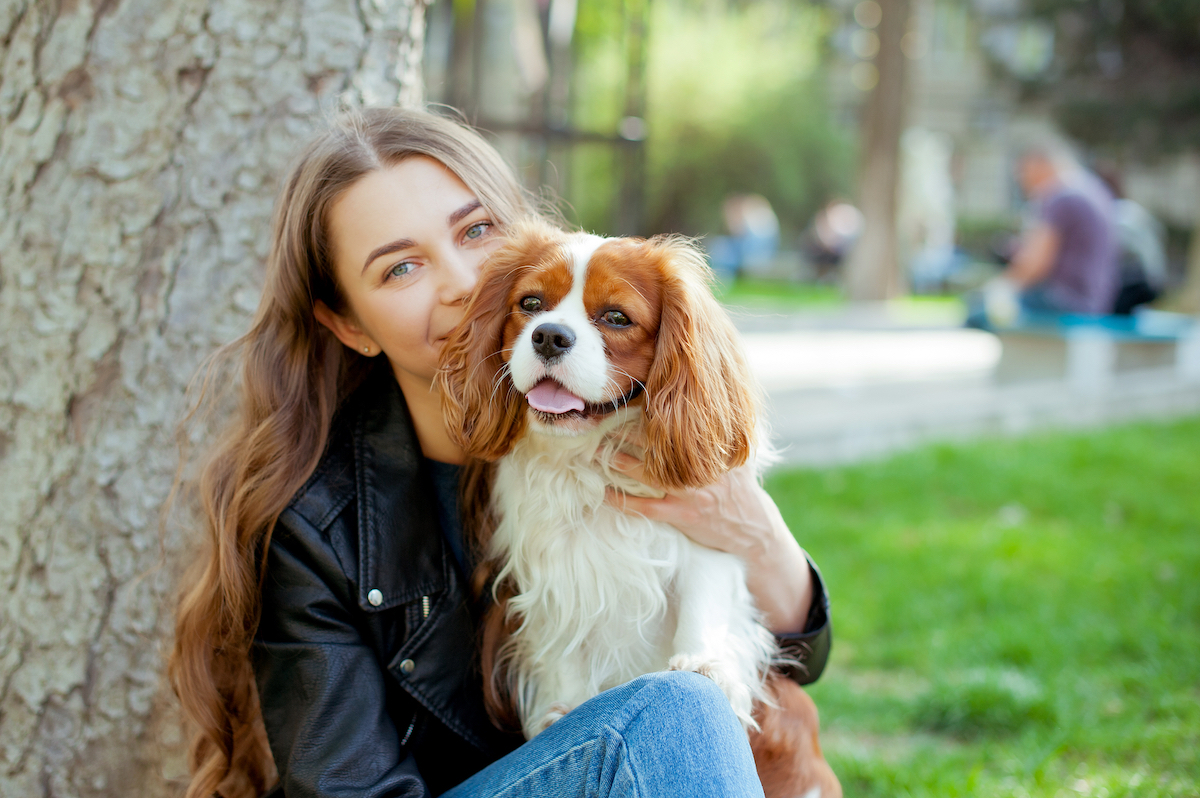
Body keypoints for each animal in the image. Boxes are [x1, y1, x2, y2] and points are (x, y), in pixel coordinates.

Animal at [441, 218, 844, 796]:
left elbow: (702, 603)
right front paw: (564, 708)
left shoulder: (709, 535)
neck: (590, 457)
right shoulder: (549, 570)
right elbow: (561, 641)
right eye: (530, 304)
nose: (548, 335)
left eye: (616, 318)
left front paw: (703, 665)